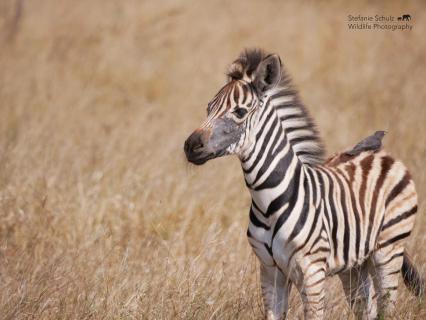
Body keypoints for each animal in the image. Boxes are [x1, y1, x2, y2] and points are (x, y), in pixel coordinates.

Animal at [183, 48, 422, 318]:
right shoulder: (270, 271)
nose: (190, 146)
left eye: (240, 112)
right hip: (355, 265)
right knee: (366, 308)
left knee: (386, 306)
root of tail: (379, 153)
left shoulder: (312, 273)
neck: (268, 203)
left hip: (389, 249)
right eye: (208, 108)